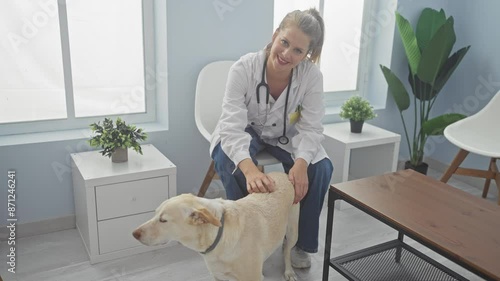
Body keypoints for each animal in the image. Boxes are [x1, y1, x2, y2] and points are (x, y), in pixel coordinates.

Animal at [131, 171, 298, 280]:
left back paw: (289, 271)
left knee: (287, 250)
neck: (219, 238)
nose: (134, 234)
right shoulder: (217, 276)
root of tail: (282, 173)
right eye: (155, 213)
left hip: (292, 232)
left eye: (163, 220)